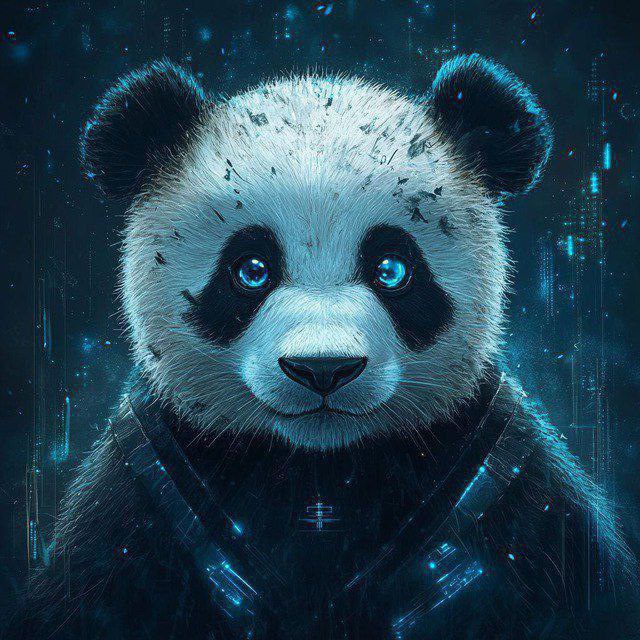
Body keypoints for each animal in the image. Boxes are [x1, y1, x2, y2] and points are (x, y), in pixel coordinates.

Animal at [12, 55, 638, 640]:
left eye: (392, 269)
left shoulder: (502, 487)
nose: (323, 368)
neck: (320, 476)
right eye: (251, 269)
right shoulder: (147, 492)